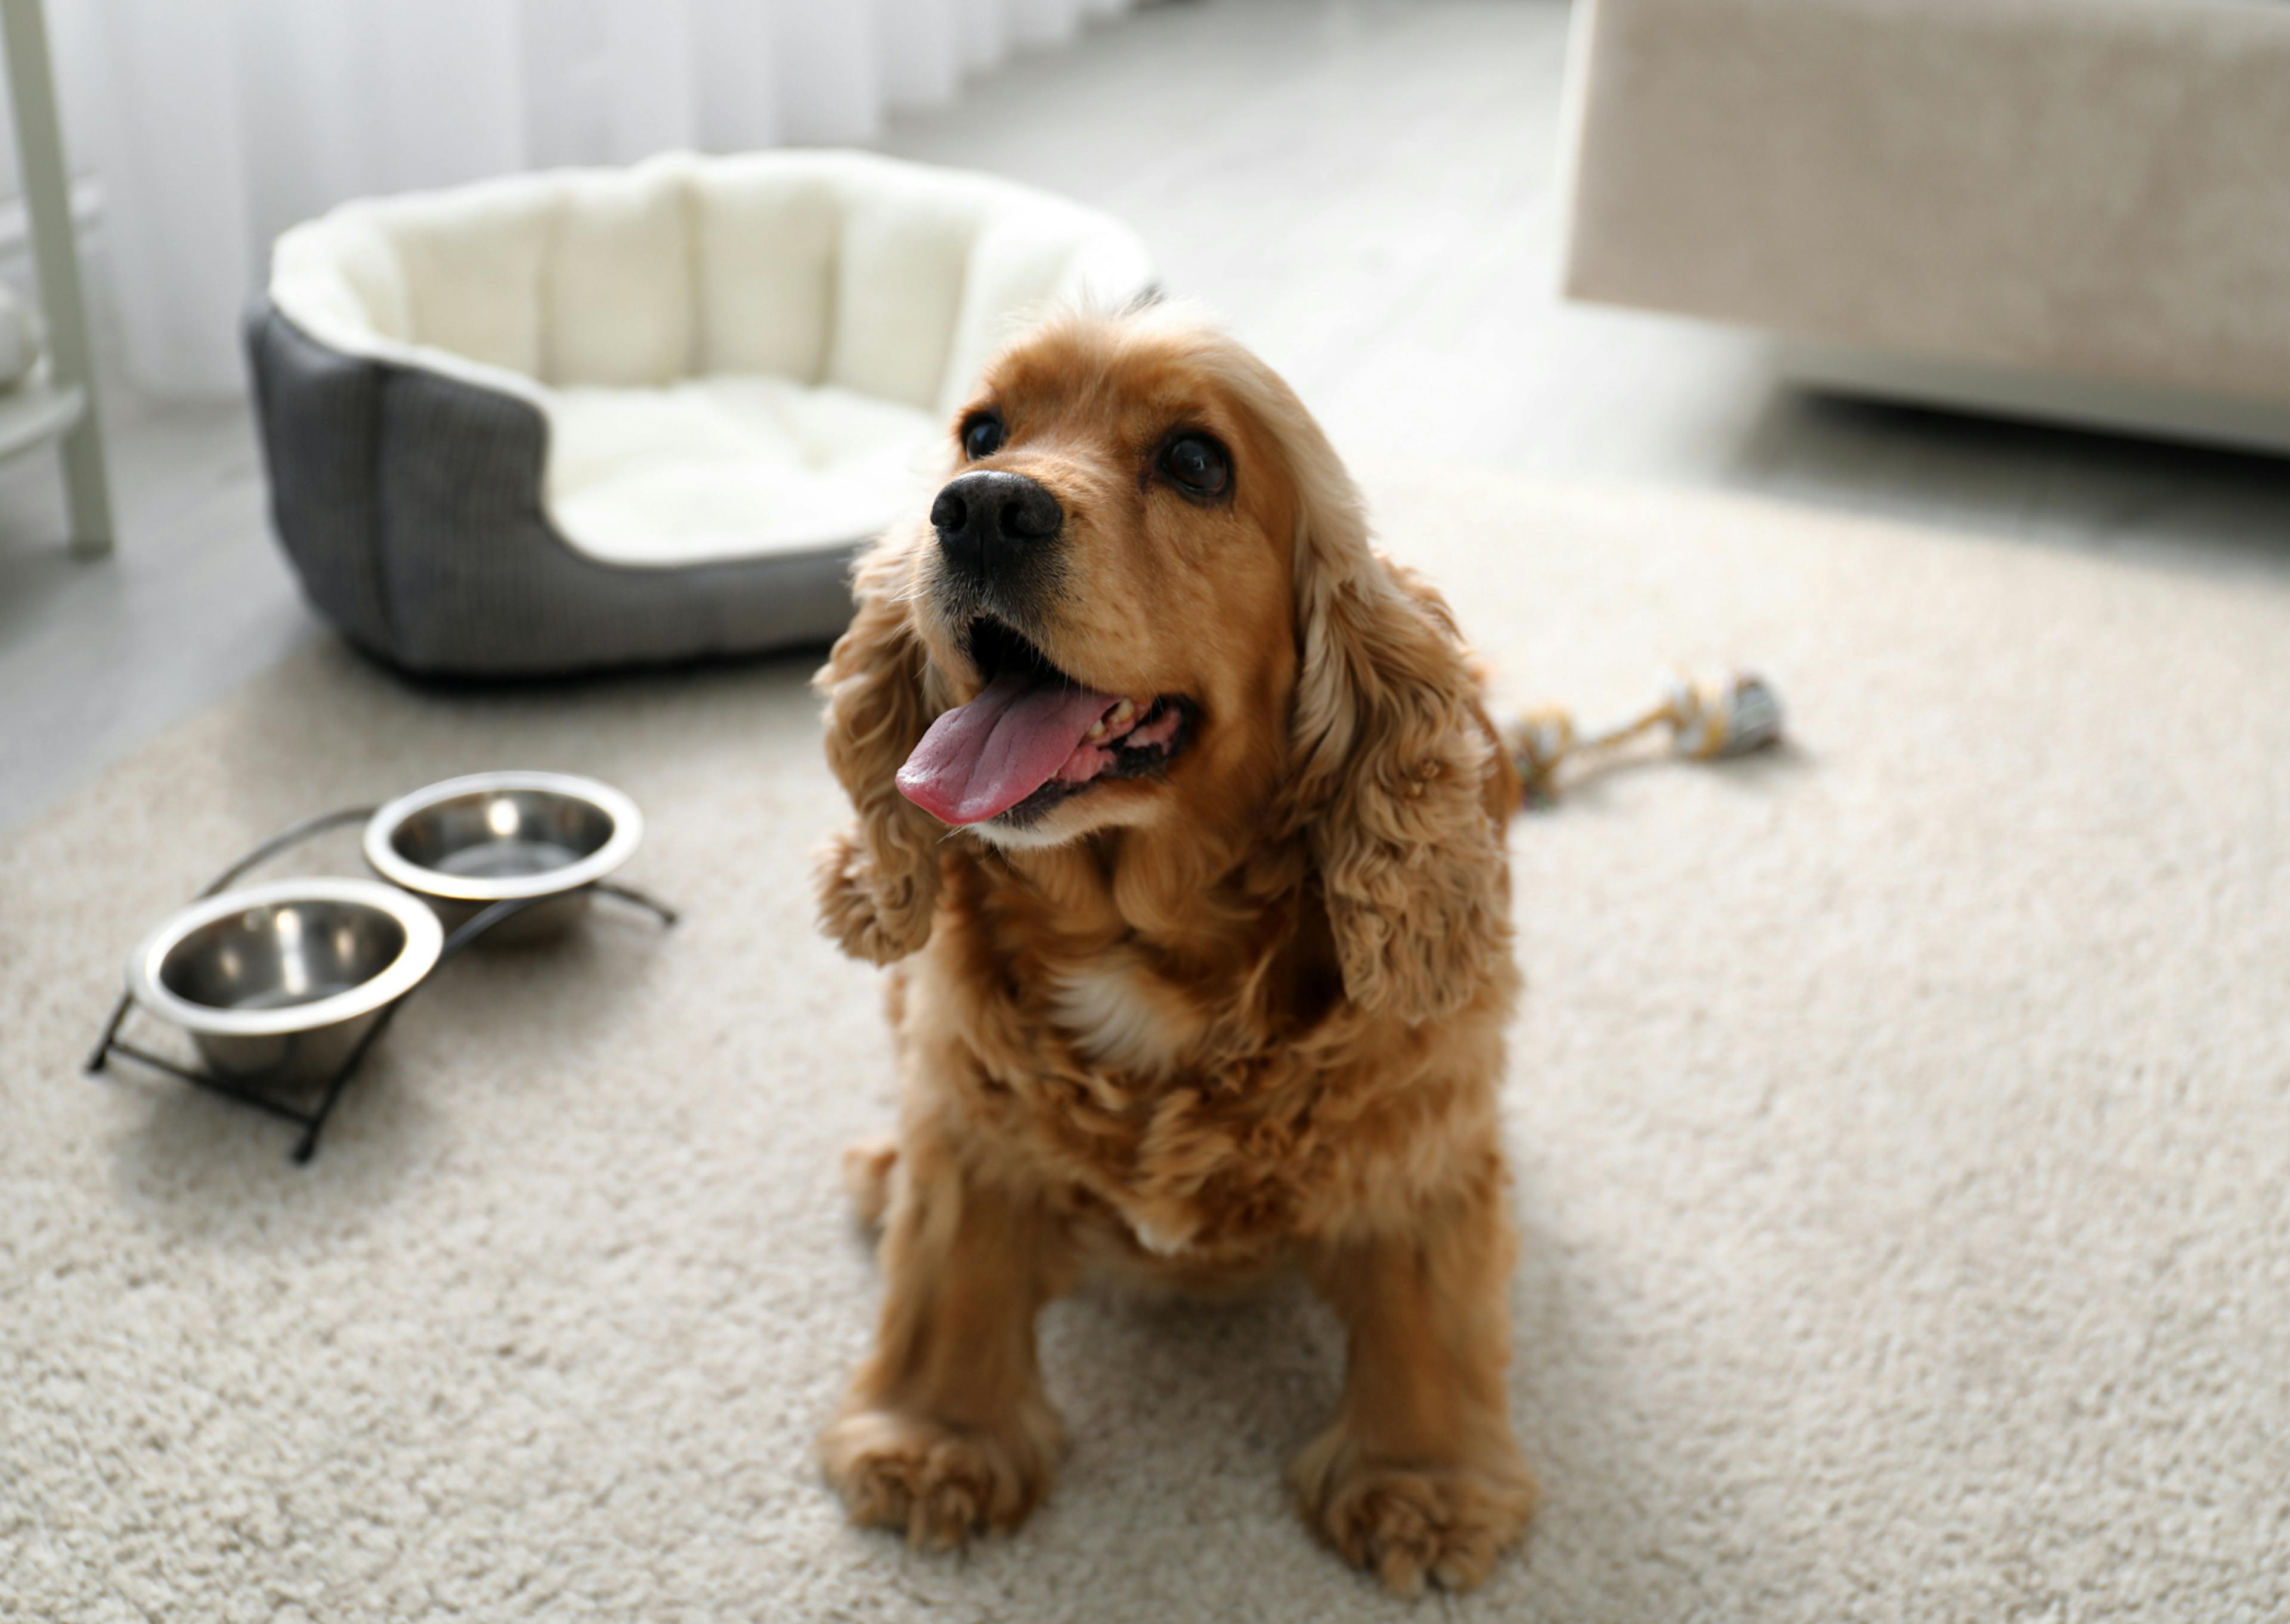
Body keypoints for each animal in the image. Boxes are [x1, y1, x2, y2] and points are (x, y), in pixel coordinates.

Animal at [815, 297, 1530, 1594]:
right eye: (979, 430)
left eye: (1197, 462)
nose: (979, 506)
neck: (1142, 943)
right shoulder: (969, 1107)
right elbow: (950, 1269)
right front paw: (936, 1441)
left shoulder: (1419, 1139)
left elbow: (1430, 1312)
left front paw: (1423, 1485)